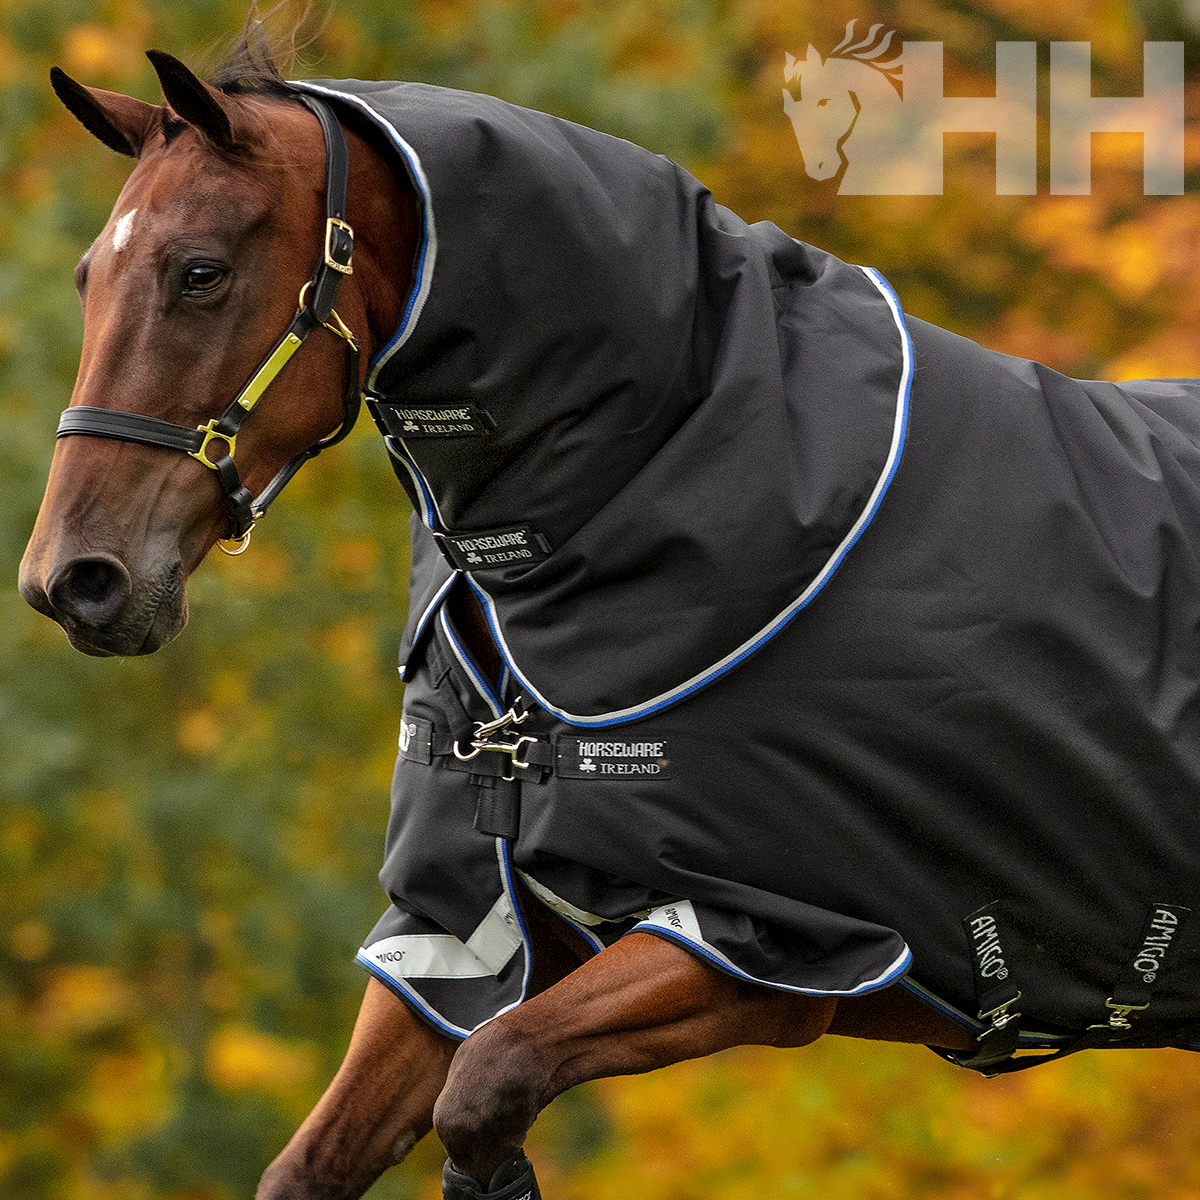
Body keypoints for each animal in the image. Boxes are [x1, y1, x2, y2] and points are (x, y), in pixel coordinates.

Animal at [19, 41, 1200, 1200]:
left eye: (201, 271)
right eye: (86, 278)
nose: (74, 579)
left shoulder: (766, 945)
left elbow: (490, 1086)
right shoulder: (463, 935)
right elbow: (317, 1160)